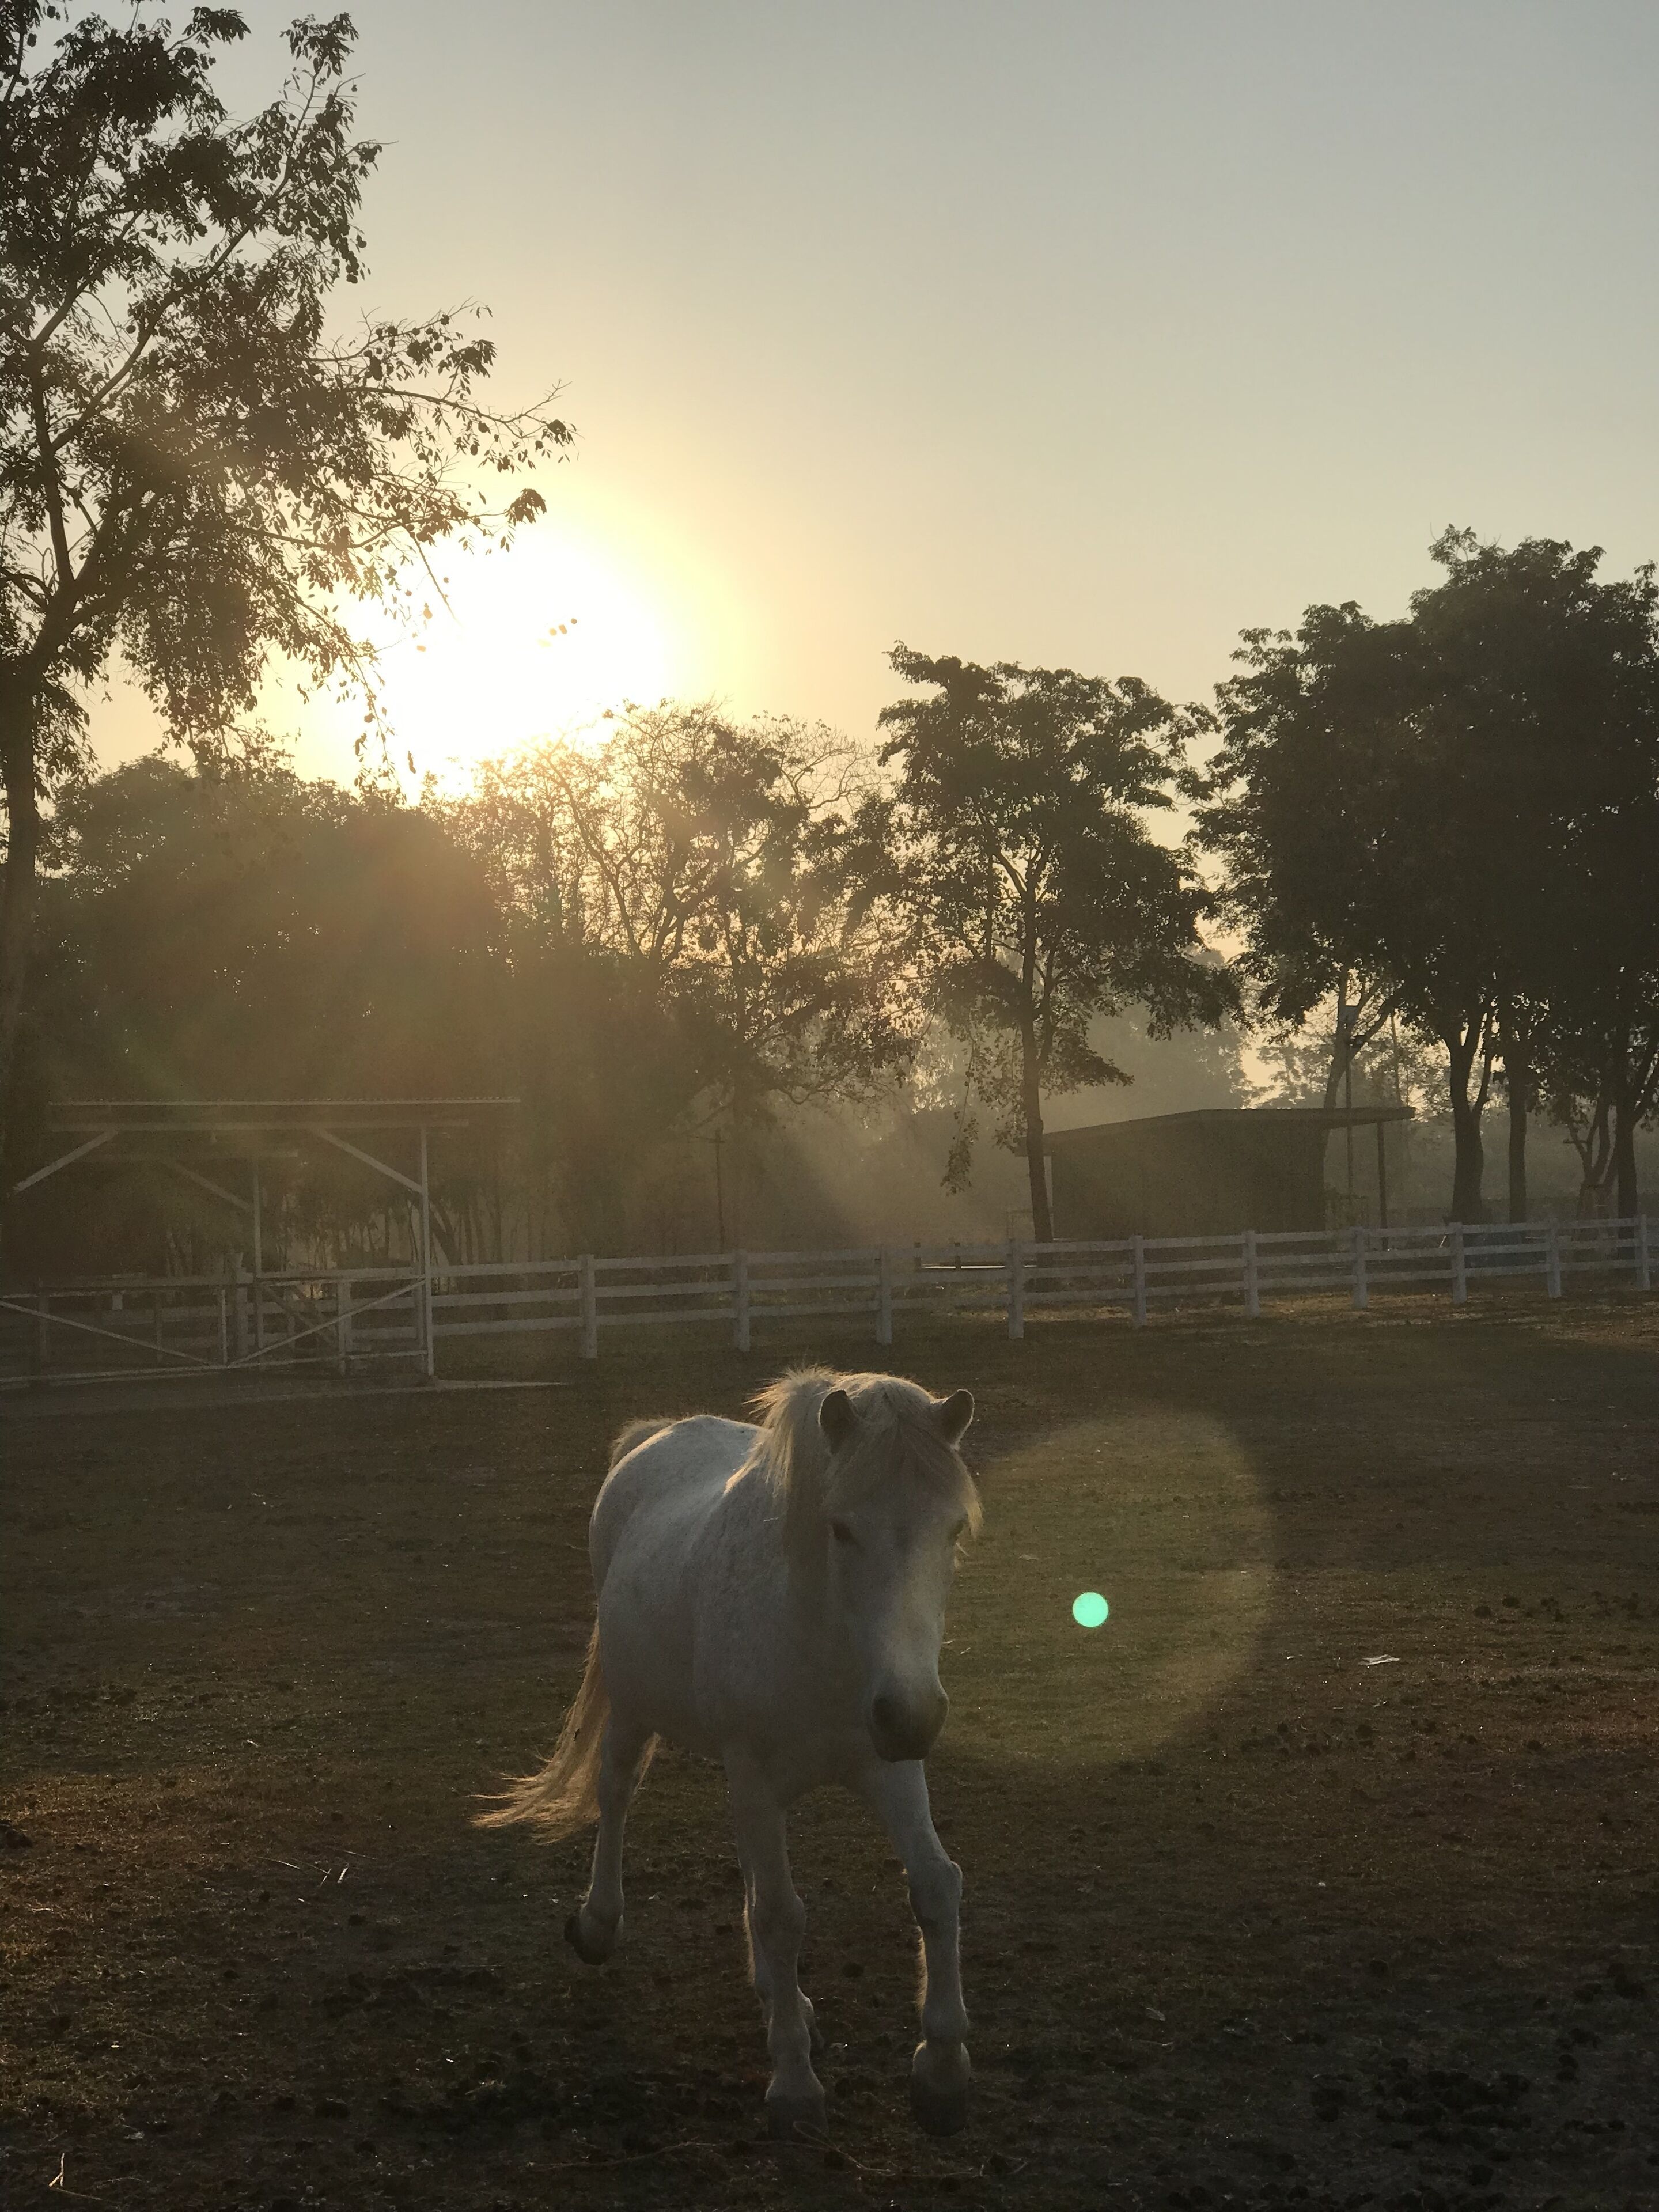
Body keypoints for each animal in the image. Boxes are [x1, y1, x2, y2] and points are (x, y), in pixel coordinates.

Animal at [479, 1366, 981, 2139]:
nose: (913, 1716)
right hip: (638, 1713)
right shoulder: (754, 1774)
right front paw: (795, 2084)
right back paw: (599, 1922)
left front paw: (943, 2067)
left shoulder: (887, 1768)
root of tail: (656, 1433)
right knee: (616, 1794)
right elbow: (778, 1914)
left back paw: (784, 1999)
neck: (821, 1639)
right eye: (842, 1528)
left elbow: (934, 1885)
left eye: (953, 1529)